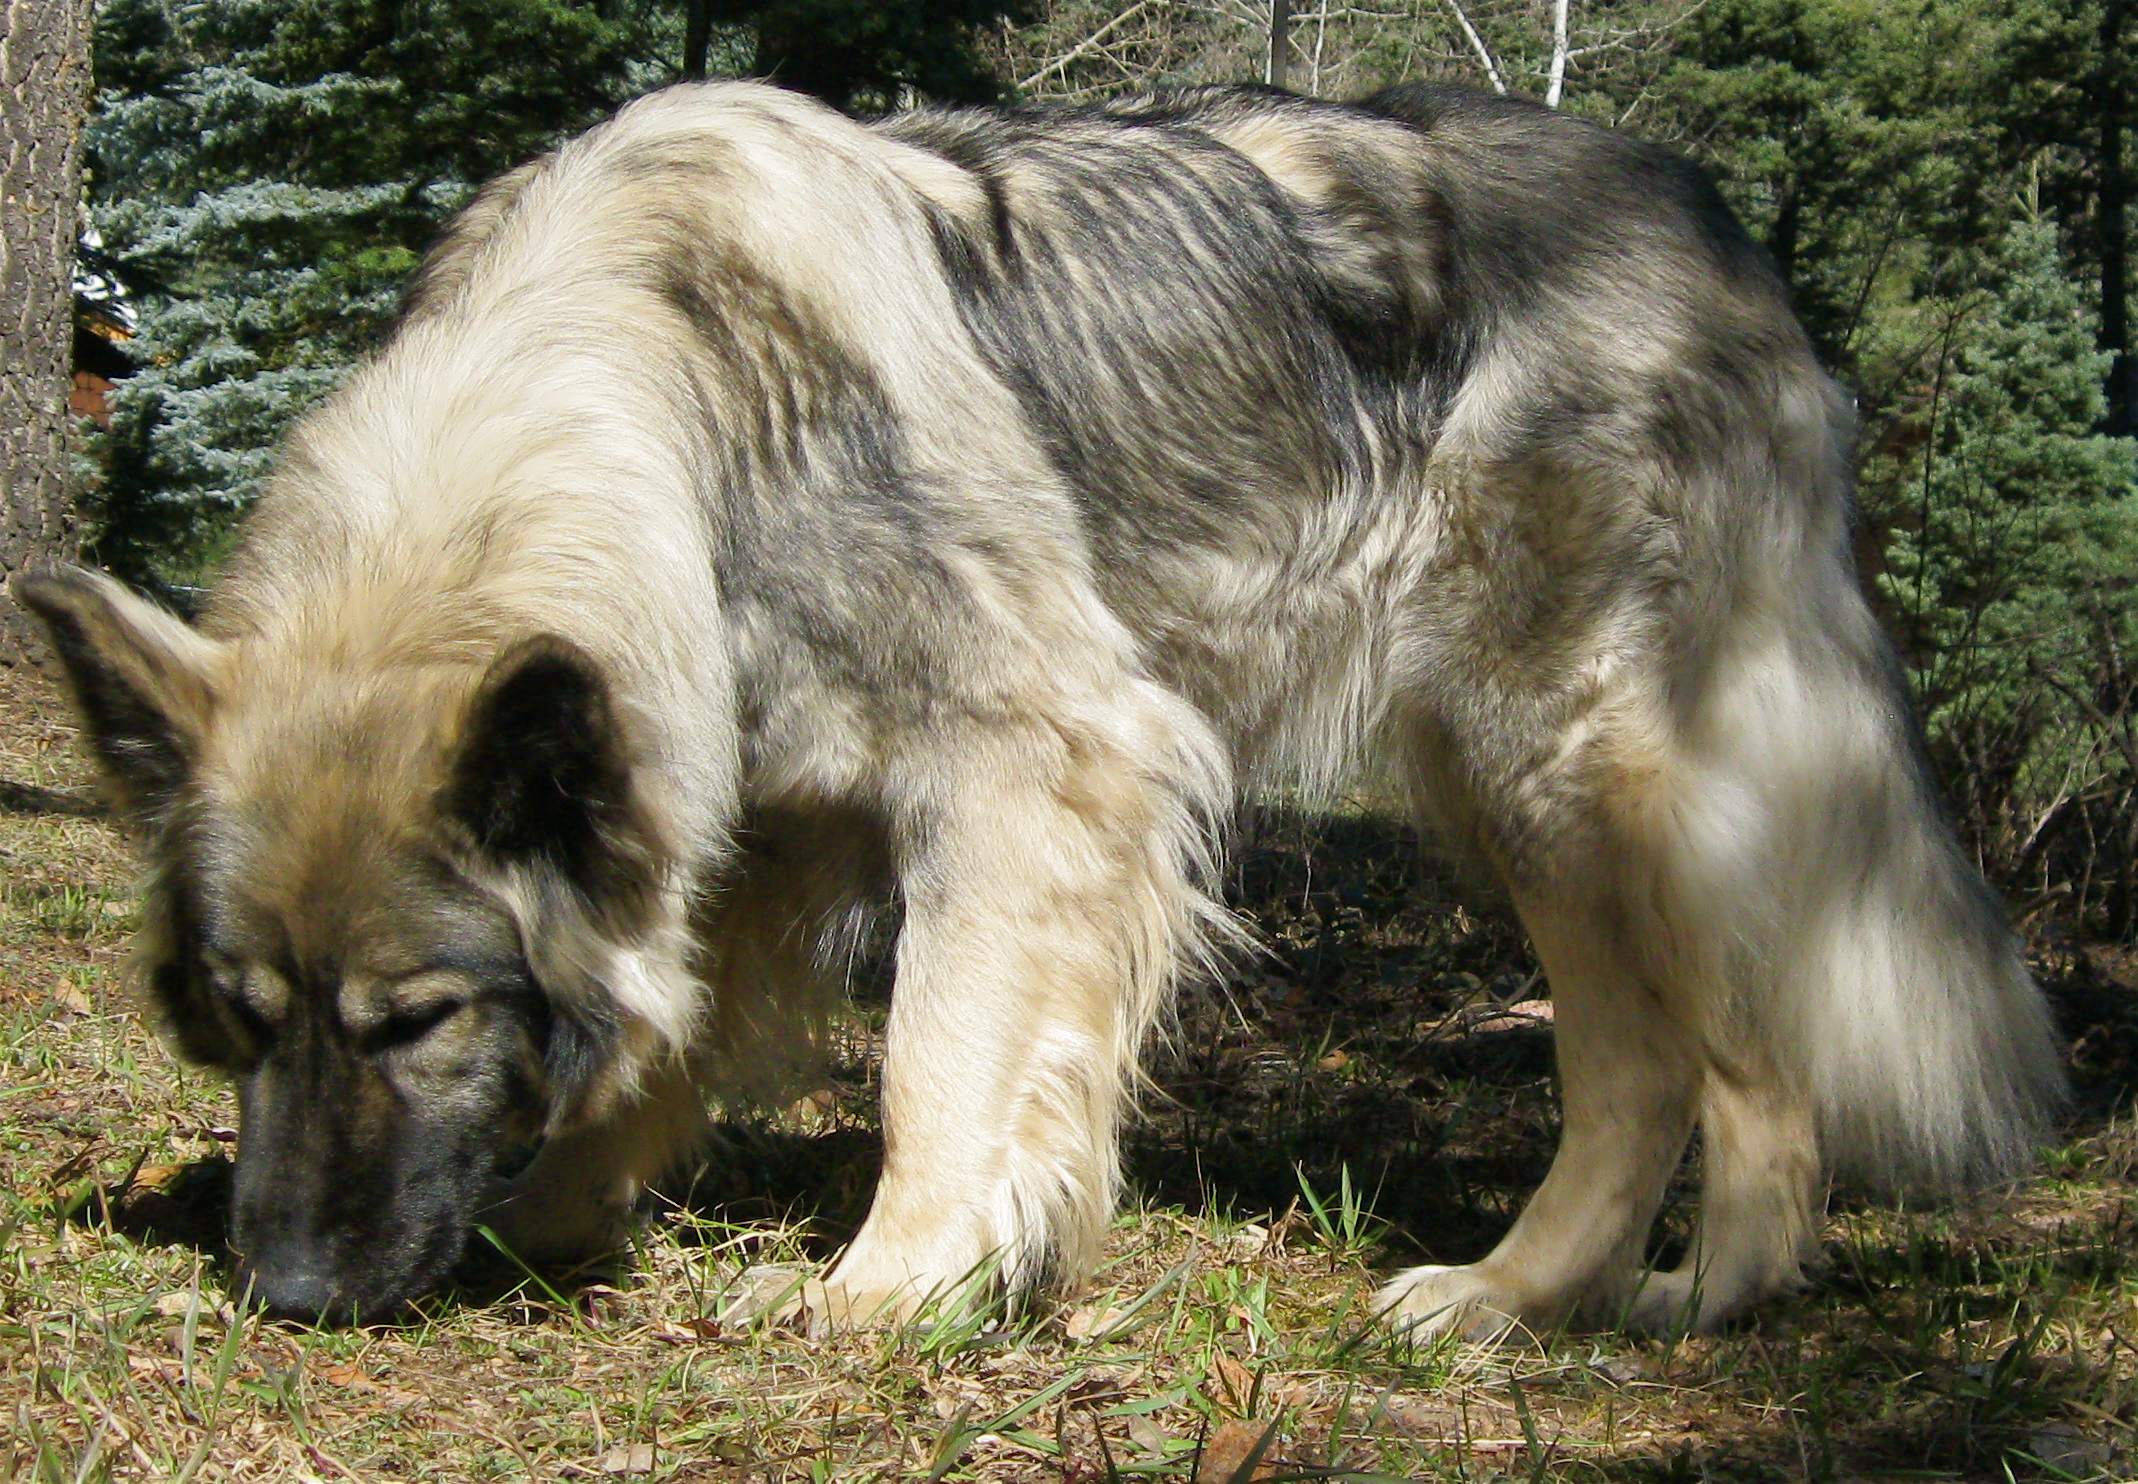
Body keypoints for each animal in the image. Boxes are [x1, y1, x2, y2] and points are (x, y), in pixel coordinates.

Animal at [20, 79, 2062, 1333]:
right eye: (235, 1018)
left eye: (414, 1019)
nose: (284, 1289)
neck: (652, 384)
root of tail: (1711, 222)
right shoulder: (753, 808)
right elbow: (673, 1031)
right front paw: (569, 1210)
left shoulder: (1040, 766)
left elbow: (934, 1051)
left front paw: (891, 1285)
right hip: (1497, 783)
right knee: (1665, 1057)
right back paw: (1567, 1295)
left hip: (1576, 756)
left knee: (1724, 1055)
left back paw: (1648, 1302)